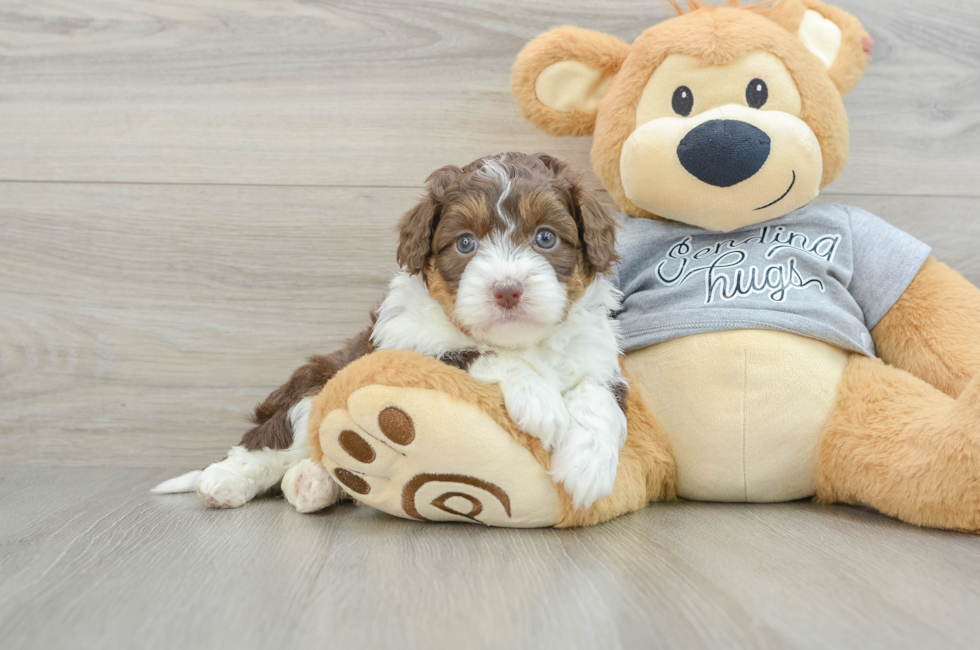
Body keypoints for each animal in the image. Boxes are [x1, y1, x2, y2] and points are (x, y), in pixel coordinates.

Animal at [153, 153, 628, 512]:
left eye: (546, 238)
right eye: (465, 243)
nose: (507, 290)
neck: (526, 340)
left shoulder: (599, 358)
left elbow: (599, 397)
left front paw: (588, 465)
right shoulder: (403, 343)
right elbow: (475, 352)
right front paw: (539, 399)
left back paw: (313, 483)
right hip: (317, 384)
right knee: (272, 440)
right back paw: (225, 481)